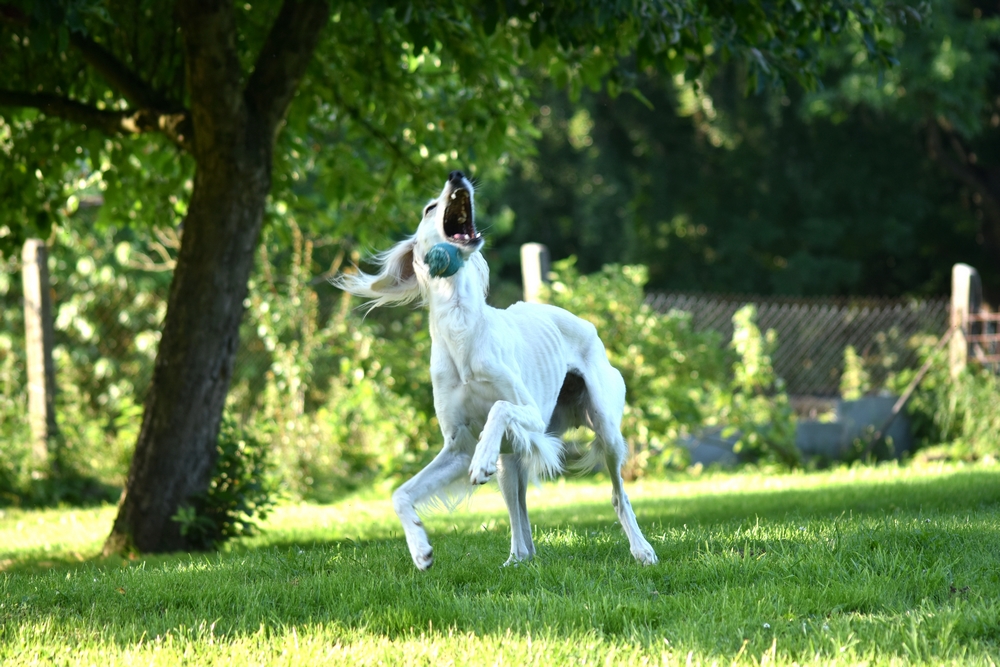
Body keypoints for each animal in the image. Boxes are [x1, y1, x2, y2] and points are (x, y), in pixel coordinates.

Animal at [336, 171, 660, 568]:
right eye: (429, 208)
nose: (456, 174)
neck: (462, 330)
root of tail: (586, 324)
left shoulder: (529, 414)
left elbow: (499, 408)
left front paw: (479, 464)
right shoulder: (457, 445)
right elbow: (400, 494)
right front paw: (419, 548)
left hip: (604, 428)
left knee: (618, 494)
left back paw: (642, 549)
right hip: (512, 462)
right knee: (519, 512)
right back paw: (518, 558)